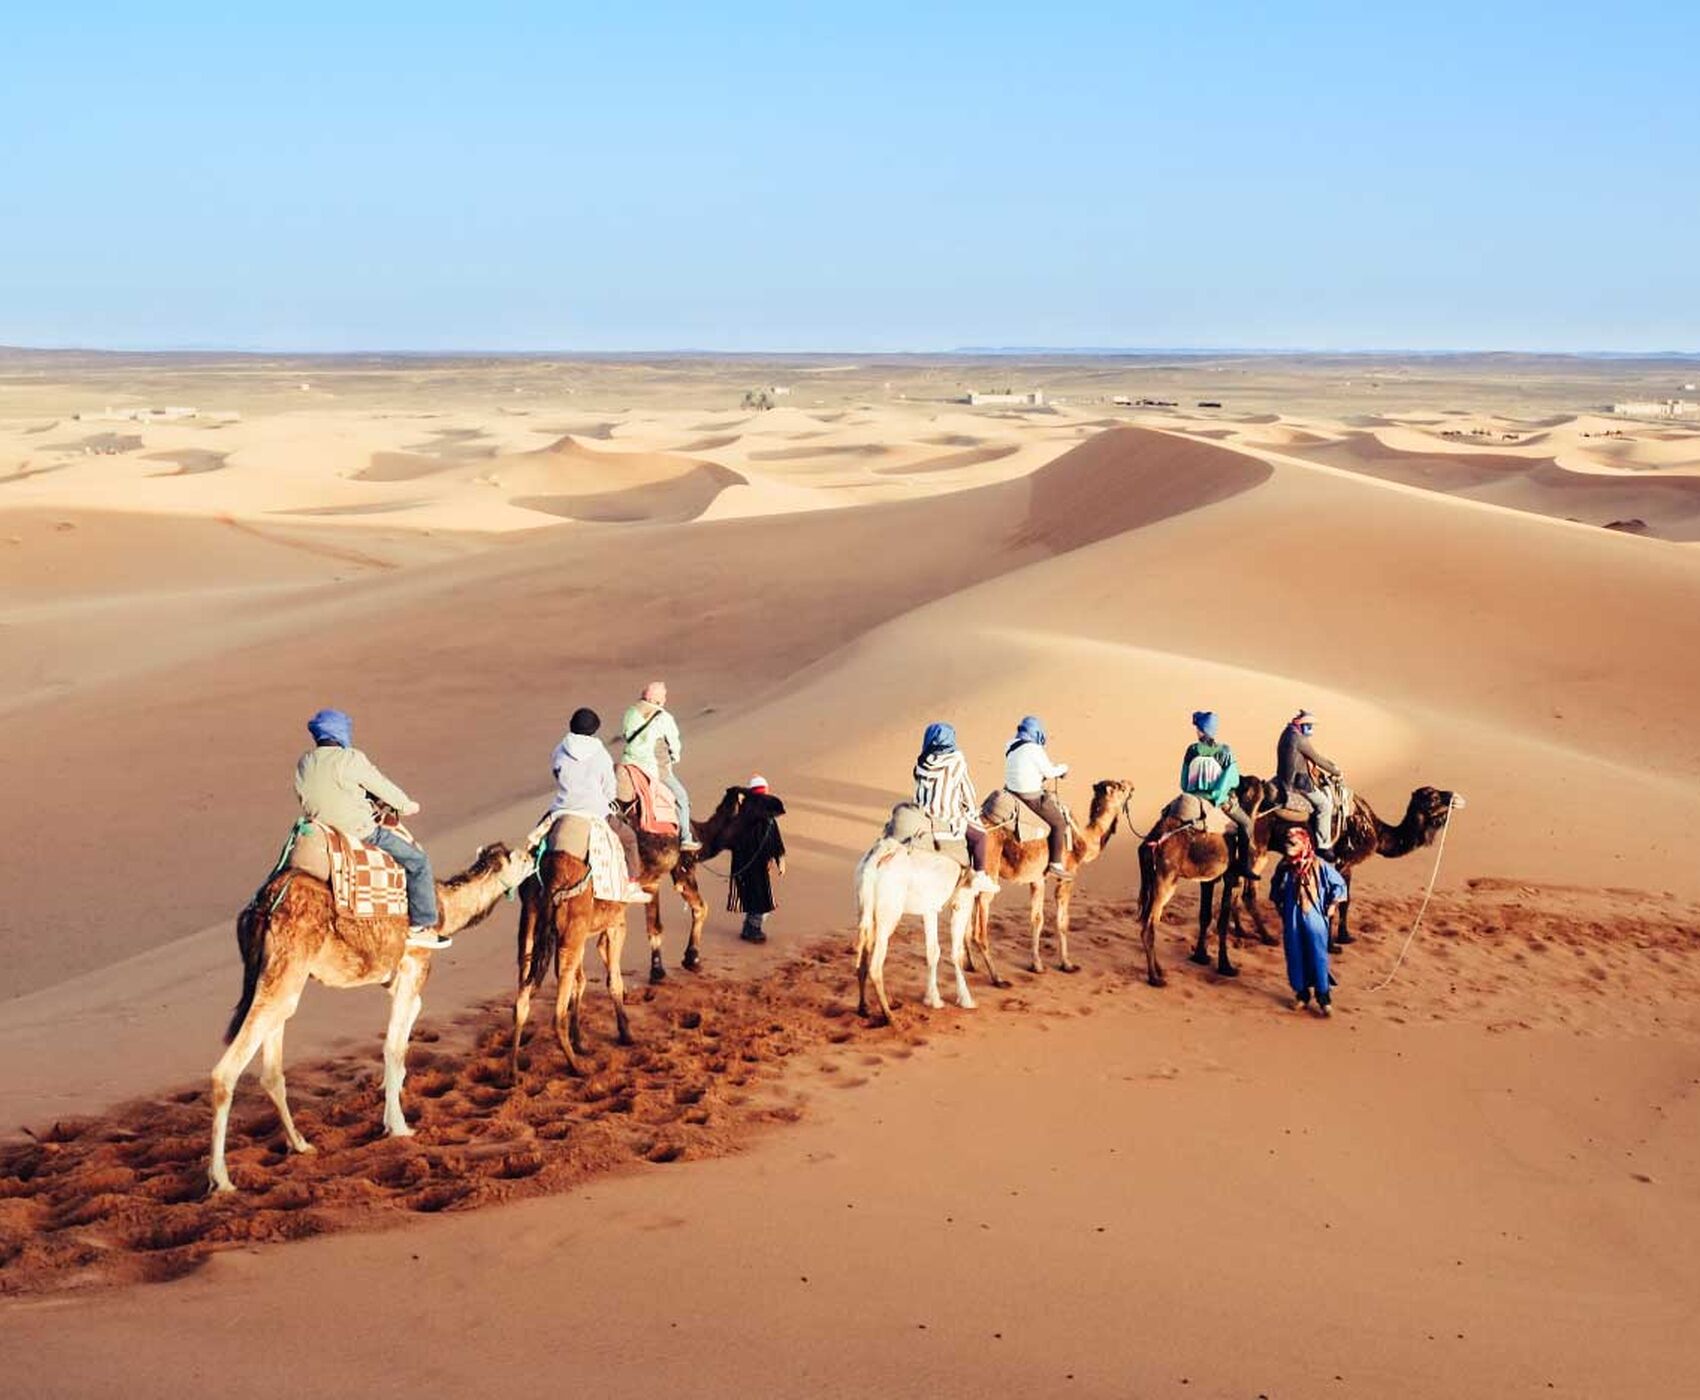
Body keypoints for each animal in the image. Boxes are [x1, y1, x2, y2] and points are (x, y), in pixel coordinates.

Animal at [209, 840, 531, 1194]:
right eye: (520, 856)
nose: (533, 857)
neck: (445, 908)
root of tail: (261, 909)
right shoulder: (414, 965)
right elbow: (394, 1047)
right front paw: (400, 1128)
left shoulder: (395, 979)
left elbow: (403, 1039)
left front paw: (391, 1109)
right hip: (285, 969)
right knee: (226, 1072)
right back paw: (221, 1180)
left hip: (279, 978)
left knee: (272, 1067)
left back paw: (301, 1145)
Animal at [853, 819, 978, 1026]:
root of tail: (873, 862)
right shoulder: (962, 903)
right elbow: (956, 953)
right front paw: (966, 1000)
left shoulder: (930, 909)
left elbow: (933, 951)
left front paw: (932, 1000)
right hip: (889, 914)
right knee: (875, 966)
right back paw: (890, 1016)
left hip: (866, 910)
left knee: (863, 957)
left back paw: (864, 1008)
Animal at [968, 778, 1134, 981]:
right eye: (1121, 787)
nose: (1132, 785)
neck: (1084, 840)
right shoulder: (1067, 875)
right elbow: (1062, 921)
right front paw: (1067, 964)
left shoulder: (1038, 878)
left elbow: (1036, 919)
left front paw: (1036, 965)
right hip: (989, 868)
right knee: (979, 925)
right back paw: (998, 978)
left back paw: (972, 965)